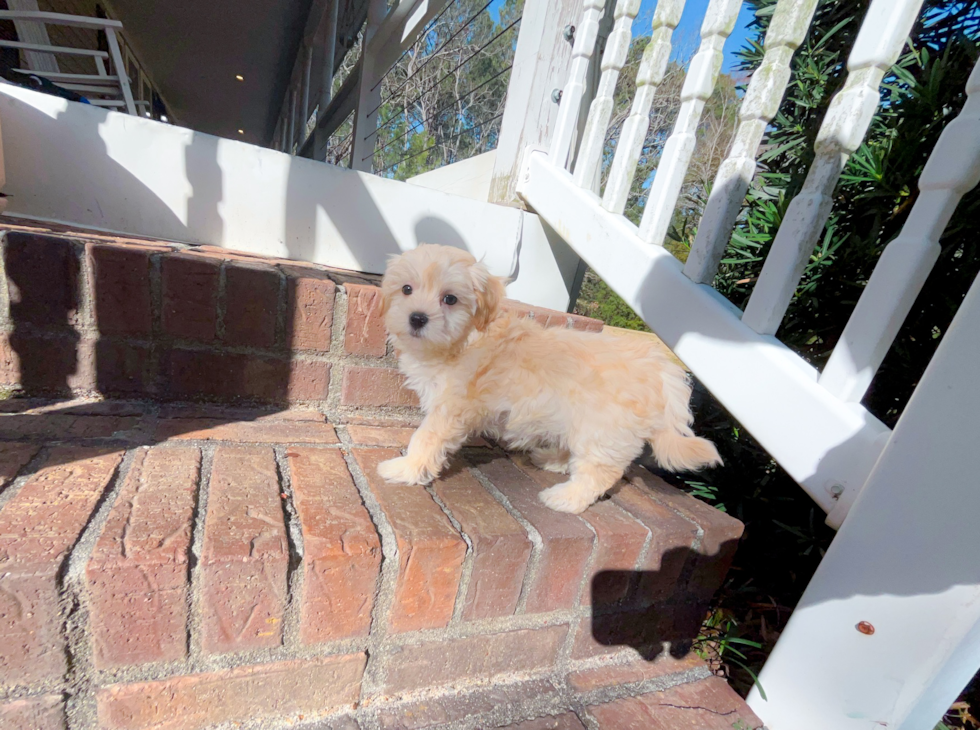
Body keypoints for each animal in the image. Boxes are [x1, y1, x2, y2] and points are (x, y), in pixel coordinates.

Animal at [376, 243, 720, 512]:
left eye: (450, 299)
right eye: (406, 289)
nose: (417, 318)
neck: (463, 340)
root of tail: (660, 366)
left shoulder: (450, 409)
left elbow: (425, 438)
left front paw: (405, 468)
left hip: (602, 431)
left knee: (599, 472)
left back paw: (566, 498)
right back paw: (552, 459)